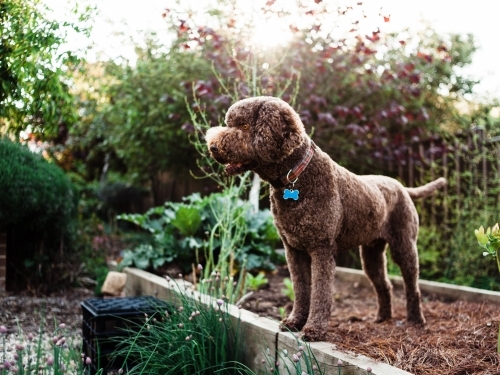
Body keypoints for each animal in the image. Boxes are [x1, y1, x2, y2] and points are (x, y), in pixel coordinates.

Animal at [205, 95, 448, 342]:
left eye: (244, 126)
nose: (212, 146)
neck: (298, 177)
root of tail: (402, 187)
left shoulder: (321, 248)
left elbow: (320, 291)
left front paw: (314, 329)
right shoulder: (293, 250)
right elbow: (301, 289)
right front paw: (294, 321)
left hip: (404, 245)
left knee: (412, 284)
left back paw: (416, 320)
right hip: (371, 253)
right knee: (384, 284)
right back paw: (382, 317)